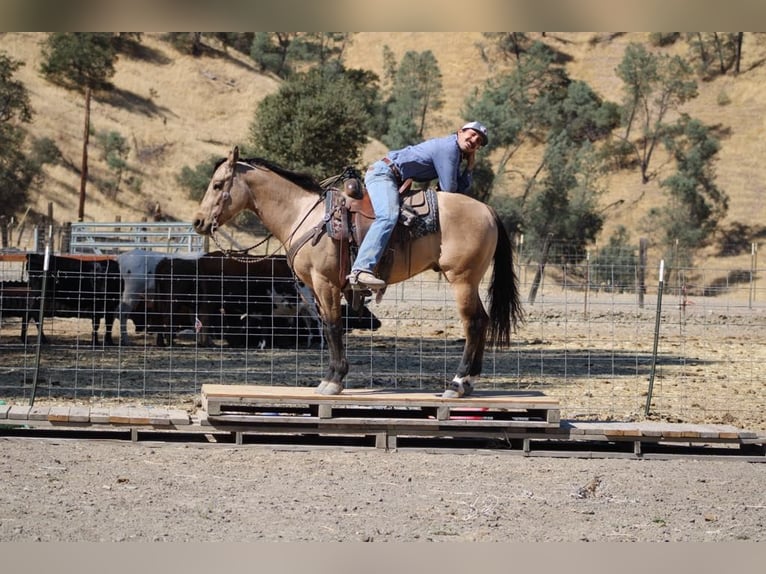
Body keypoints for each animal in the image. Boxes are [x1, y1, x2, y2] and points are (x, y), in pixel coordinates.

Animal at [192, 146, 523, 398]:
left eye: (218, 185)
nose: (198, 221)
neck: (306, 215)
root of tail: (487, 210)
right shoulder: (314, 289)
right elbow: (327, 327)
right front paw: (331, 377)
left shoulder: (325, 283)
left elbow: (332, 327)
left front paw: (333, 380)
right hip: (471, 280)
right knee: (483, 319)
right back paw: (470, 381)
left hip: (461, 279)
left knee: (473, 324)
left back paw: (456, 383)